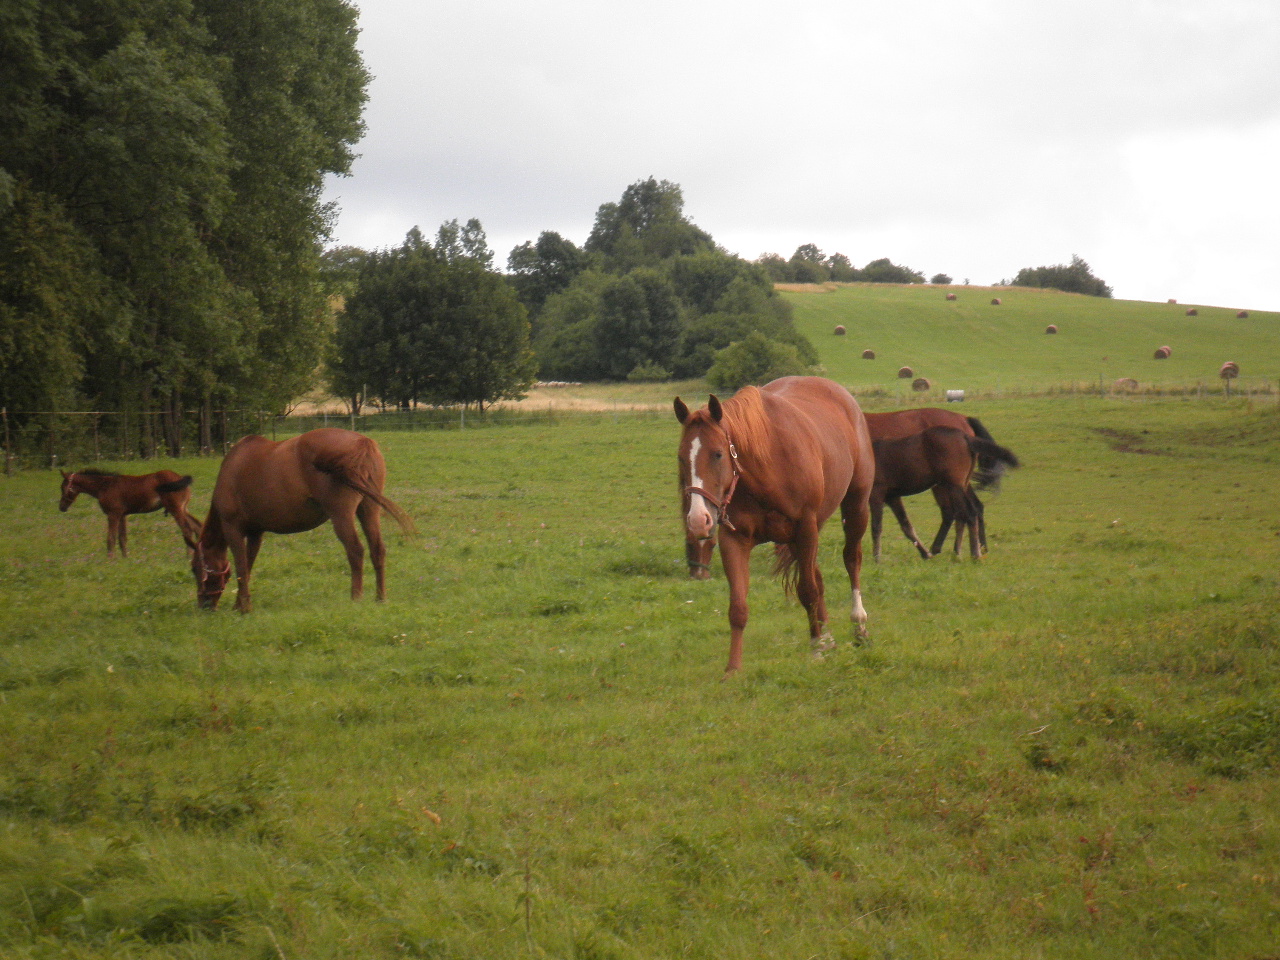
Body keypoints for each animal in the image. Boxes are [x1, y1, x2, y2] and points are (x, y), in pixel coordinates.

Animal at [59, 469, 201, 556]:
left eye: (63, 488)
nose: (61, 507)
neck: (105, 486)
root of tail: (180, 477)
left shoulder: (113, 514)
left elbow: (111, 538)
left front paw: (110, 560)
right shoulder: (122, 515)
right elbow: (122, 538)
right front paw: (125, 559)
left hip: (175, 509)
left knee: (187, 529)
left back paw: (188, 556)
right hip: (183, 508)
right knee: (197, 526)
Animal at [192, 428, 416, 612]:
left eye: (195, 569)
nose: (204, 606)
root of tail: (363, 442)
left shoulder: (233, 528)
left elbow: (240, 567)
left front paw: (243, 607)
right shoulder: (256, 533)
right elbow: (247, 566)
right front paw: (240, 603)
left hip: (341, 514)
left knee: (355, 550)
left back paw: (356, 598)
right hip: (369, 509)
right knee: (377, 549)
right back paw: (380, 598)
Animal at [675, 376, 875, 675]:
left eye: (718, 454)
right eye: (681, 457)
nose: (699, 519)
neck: (765, 468)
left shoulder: (805, 528)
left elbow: (808, 591)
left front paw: (816, 649)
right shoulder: (735, 539)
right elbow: (738, 606)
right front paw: (733, 669)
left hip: (855, 507)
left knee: (852, 559)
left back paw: (858, 626)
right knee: (817, 576)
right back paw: (827, 637)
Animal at [864, 408, 1017, 552]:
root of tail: (964, 419)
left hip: (948, 484)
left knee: (958, 511)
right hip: (954, 483)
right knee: (970, 508)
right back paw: (978, 548)